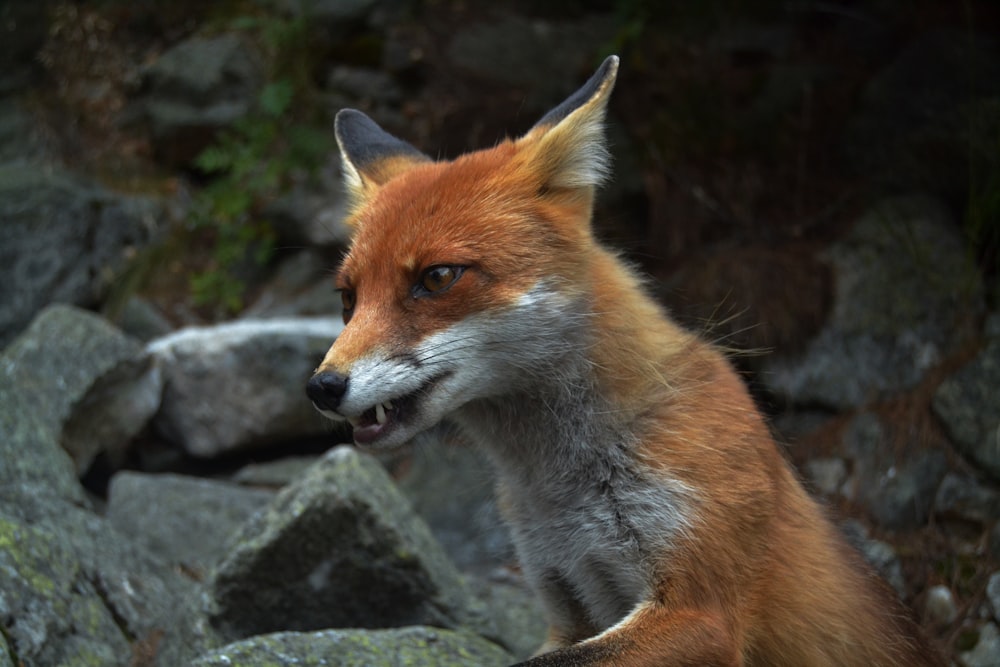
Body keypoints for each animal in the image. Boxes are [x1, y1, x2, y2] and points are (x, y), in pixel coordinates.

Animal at [306, 54, 944, 664]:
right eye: (348, 298)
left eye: (437, 278)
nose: (321, 388)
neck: (563, 487)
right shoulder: (564, 600)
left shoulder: (698, 609)